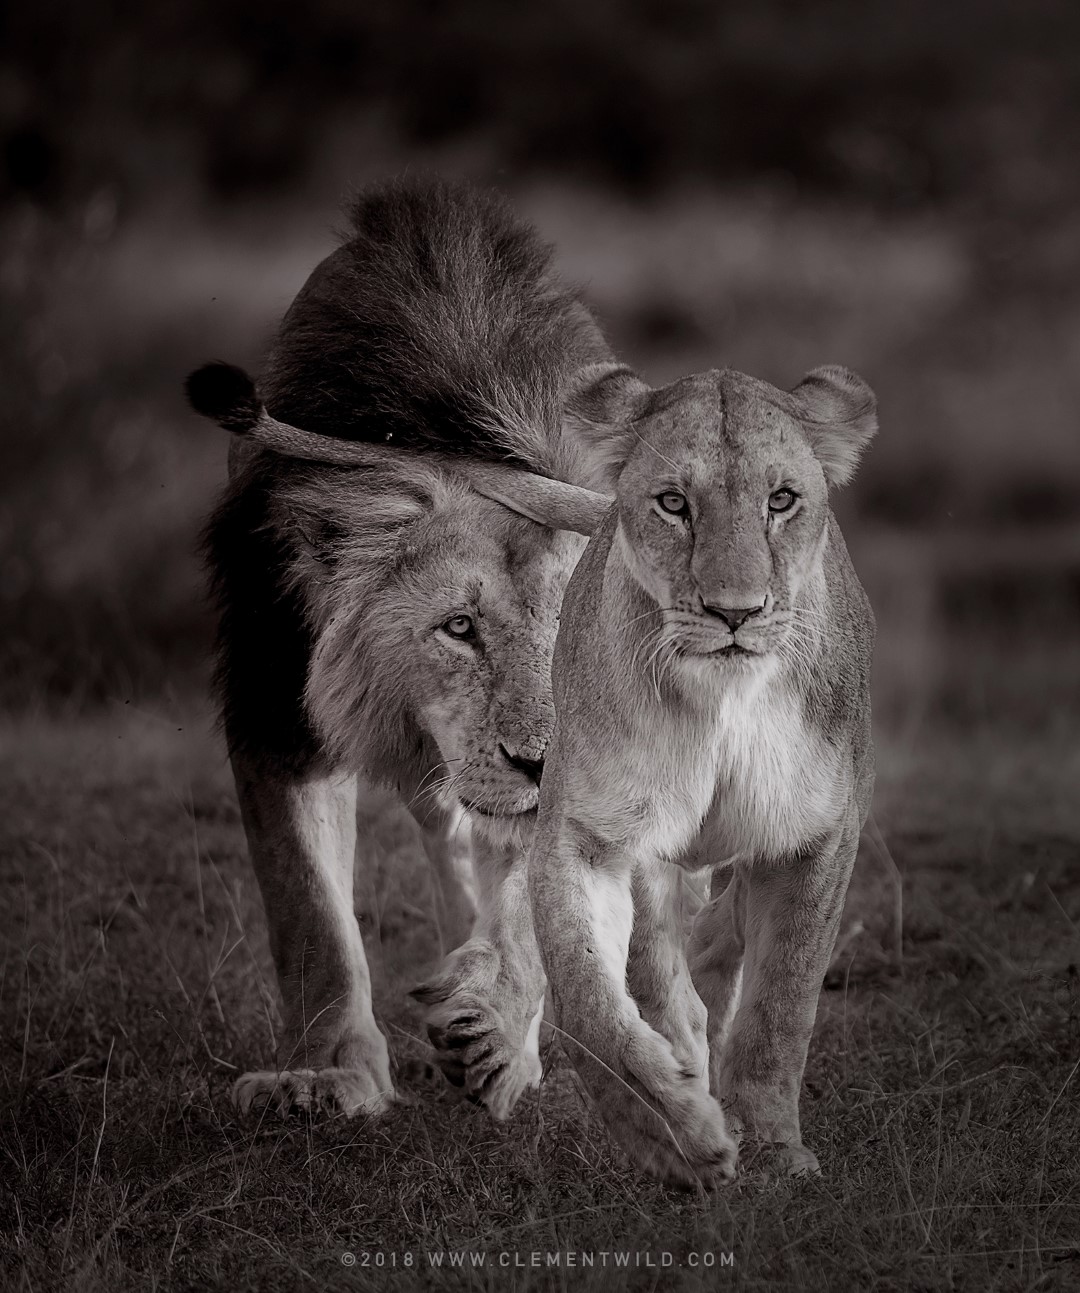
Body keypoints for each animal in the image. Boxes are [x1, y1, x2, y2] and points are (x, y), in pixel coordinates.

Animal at [187, 179, 615, 1122]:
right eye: (458, 628)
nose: (543, 760)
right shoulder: (277, 707)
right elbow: (309, 909)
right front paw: (320, 1075)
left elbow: (532, 908)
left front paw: (495, 1028)